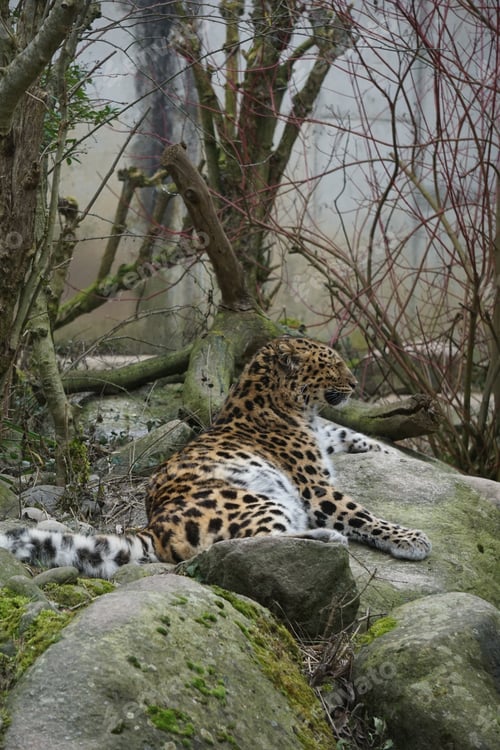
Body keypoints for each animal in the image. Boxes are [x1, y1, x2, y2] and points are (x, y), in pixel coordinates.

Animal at [0, 337, 431, 577]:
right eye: (331, 365)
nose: (355, 384)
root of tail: (155, 527)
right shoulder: (314, 487)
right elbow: (361, 514)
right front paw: (409, 538)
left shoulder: (323, 436)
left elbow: (349, 433)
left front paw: (392, 451)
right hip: (259, 500)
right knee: (247, 546)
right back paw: (327, 538)